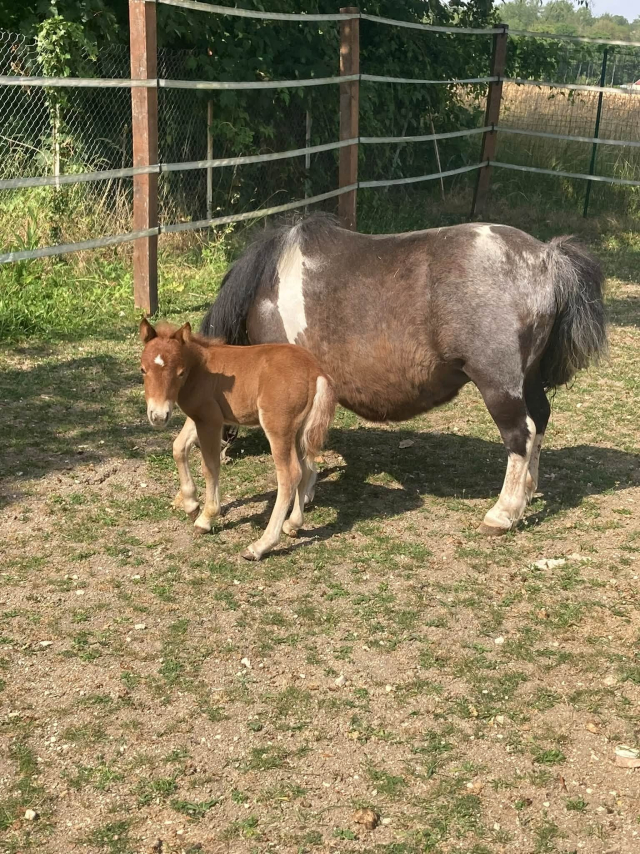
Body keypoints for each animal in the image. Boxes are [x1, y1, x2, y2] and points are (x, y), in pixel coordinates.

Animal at [139, 318, 336, 560]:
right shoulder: (199, 417)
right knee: (306, 469)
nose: (158, 416)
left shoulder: (210, 421)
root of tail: (316, 372)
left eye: (180, 372)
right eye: (143, 370)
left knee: (290, 475)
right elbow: (178, 448)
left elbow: (210, 466)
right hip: (299, 431)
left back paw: (260, 545)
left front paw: (205, 518)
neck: (201, 369)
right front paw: (191, 505)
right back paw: (293, 524)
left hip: (278, 428)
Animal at [174, 214, 606, 536]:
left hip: (499, 384)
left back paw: (503, 512)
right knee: (540, 423)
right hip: (526, 380)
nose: (224, 449)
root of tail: (547, 258)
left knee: (521, 435)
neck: (266, 290)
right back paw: (527, 496)